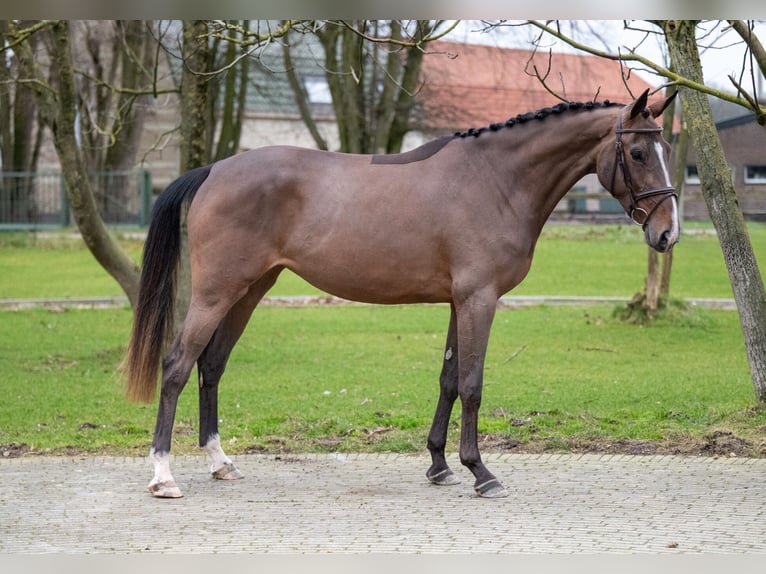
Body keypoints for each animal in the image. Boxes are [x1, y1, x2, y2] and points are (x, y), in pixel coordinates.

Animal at [127, 89, 684, 500]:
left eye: (667, 152)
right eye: (638, 153)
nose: (667, 234)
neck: (495, 180)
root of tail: (214, 170)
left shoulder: (459, 301)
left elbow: (448, 380)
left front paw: (440, 464)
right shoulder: (480, 299)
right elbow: (473, 384)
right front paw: (482, 472)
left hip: (249, 290)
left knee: (212, 365)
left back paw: (220, 462)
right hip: (216, 291)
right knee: (177, 365)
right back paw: (163, 476)